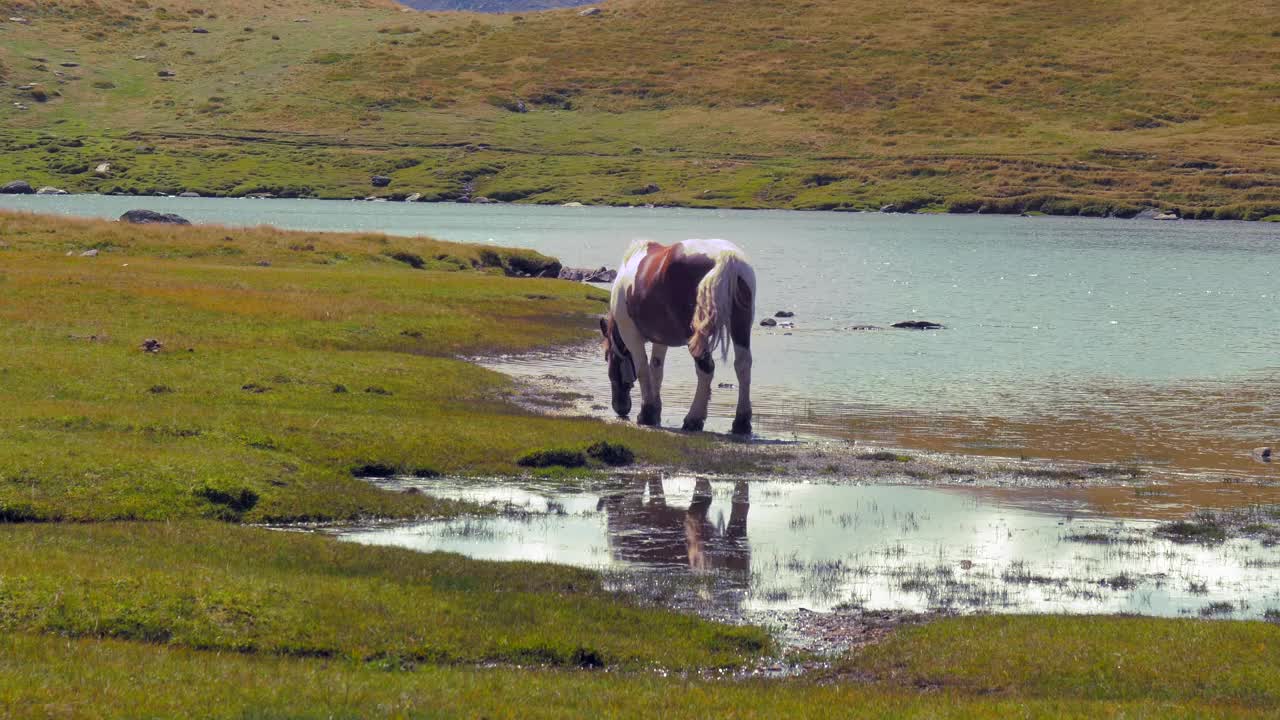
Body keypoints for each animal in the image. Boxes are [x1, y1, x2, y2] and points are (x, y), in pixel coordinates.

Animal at [601, 238, 757, 435]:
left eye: (607, 358)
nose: (620, 408)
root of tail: (726, 257)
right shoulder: (661, 339)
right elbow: (656, 370)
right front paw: (655, 410)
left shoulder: (631, 335)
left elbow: (643, 369)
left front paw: (647, 413)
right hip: (740, 327)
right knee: (743, 366)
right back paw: (741, 422)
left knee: (706, 369)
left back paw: (694, 419)